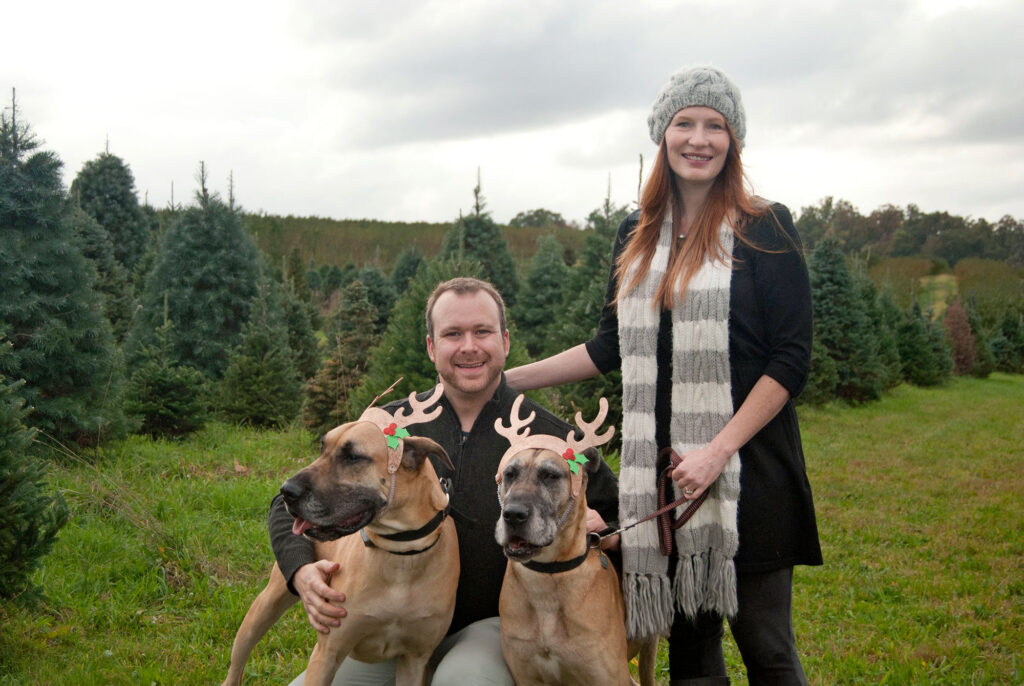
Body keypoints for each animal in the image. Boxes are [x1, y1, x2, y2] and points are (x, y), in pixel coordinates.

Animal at [228, 387, 464, 686]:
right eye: (322, 448)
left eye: (353, 457)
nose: (286, 491)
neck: (401, 553)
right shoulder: (327, 653)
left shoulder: (415, 659)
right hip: (265, 605)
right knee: (238, 659)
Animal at [489, 397, 651, 686]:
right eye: (509, 474)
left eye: (550, 476)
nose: (513, 515)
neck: (548, 576)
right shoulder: (525, 675)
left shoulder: (610, 677)